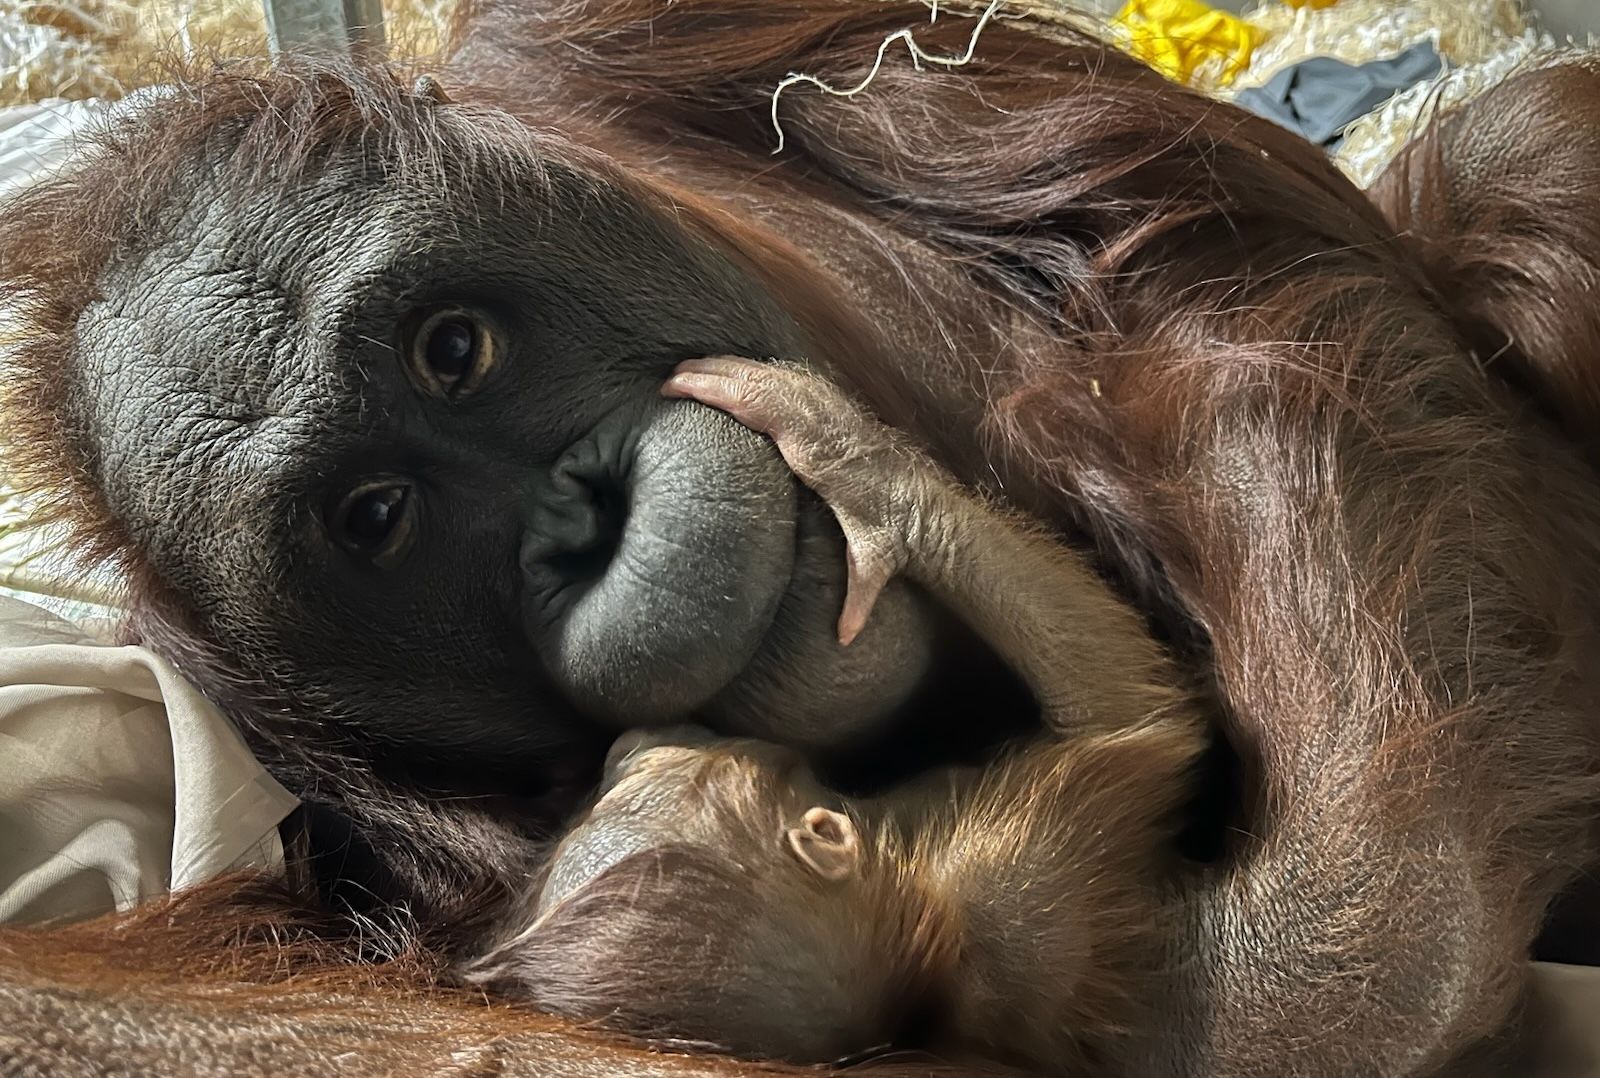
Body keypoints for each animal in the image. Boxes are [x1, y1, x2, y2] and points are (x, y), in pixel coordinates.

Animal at [2, 2, 1600, 1074]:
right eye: (378, 518)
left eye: (454, 349)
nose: (581, 509)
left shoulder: (638, 37)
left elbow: (1182, 254)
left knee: (1528, 152)